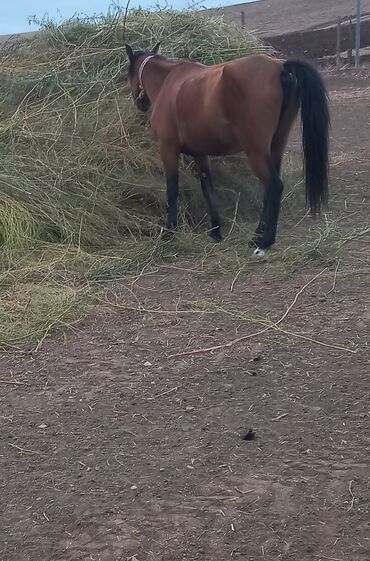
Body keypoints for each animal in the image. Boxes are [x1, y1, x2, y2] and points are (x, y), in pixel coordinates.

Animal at [125, 42, 330, 258]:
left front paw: (170, 232)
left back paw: (264, 241)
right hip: (275, 147)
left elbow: (172, 190)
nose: (140, 104)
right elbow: (208, 189)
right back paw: (257, 236)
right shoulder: (200, 154)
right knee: (268, 189)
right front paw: (215, 231)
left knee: (274, 186)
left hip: (256, 151)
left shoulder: (168, 149)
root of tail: (279, 67)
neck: (169, 81)